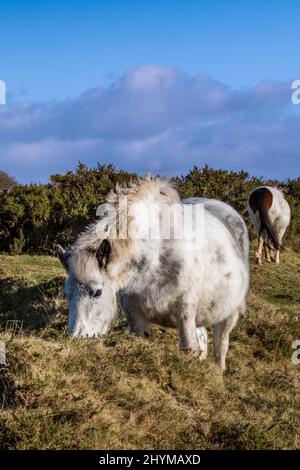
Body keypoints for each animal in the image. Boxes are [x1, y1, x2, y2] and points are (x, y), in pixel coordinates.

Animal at [56, 176, 248, 370]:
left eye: (97, 292)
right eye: (67, 294)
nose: (77, 338)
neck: (155, 255)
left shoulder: (185, 313)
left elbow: (189, 348)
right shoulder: (137, 320)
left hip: (229, 315)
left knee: (220, 346)